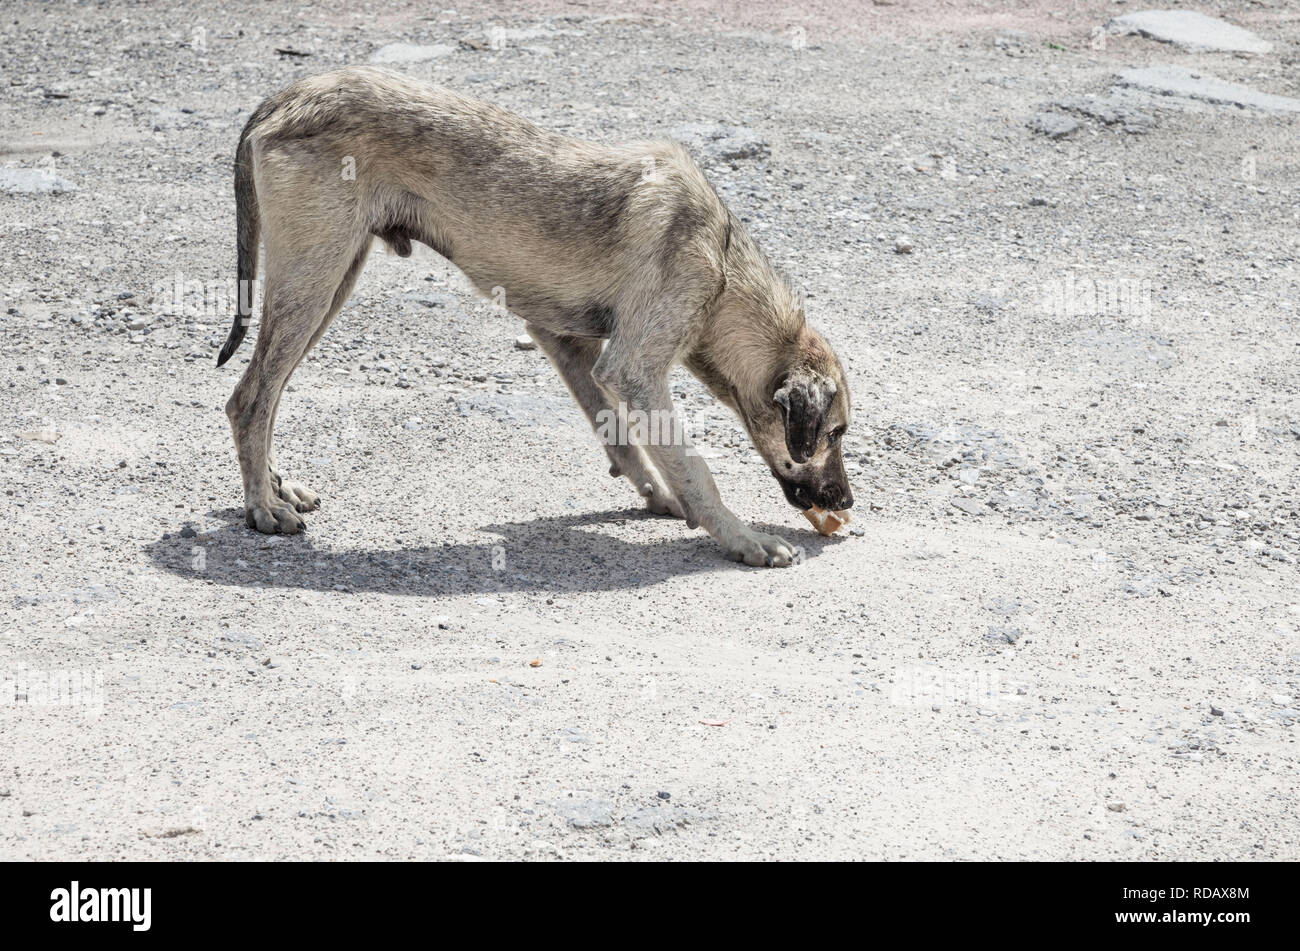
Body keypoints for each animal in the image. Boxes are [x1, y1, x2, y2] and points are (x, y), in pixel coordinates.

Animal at [218, 68, 852, 571]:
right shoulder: (634, 369)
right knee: (249, 399)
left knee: (268, 393)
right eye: (837, 433)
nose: (845, 504)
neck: (722, 265)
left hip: (330, 286)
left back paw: (275, 485)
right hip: (313, 283)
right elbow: (694, 465)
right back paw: (262, 506)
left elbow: (624, 439)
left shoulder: (568, 345)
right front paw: (740, 537)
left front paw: (658, 496)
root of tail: (289, 94)